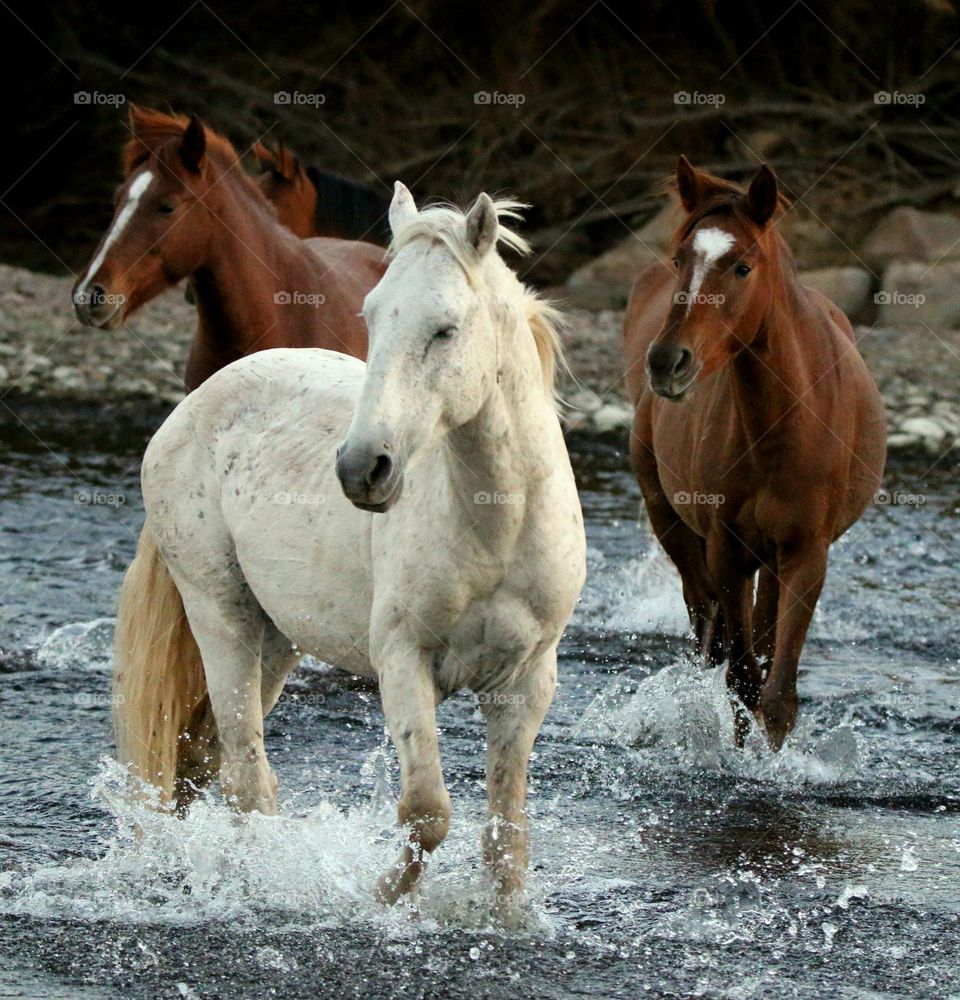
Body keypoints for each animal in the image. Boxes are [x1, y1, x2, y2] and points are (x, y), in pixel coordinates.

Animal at [112, 185, 587, 925]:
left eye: (446, 329)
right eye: (371, 316)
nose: (364, 468)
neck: (496, 527)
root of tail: (190, 410)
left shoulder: (526, 682)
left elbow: (506, 834)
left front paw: (505, 922)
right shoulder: (403, 661)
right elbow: (427, 812)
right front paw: (378, 899)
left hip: (276, 640)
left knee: (204, 761)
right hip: (220, 616)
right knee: (245, 772)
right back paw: (257, 886)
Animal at [623, 156, 886, 750]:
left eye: (742, 267)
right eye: (680, 259)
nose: (667, 361)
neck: (786, 425)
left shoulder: (807, 554)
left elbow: (777, 691)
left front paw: (773, 761)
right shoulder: (728, 550)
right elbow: (741, 678)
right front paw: (741, 759)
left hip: (775, 559)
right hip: (672, 522)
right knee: (707, 631)